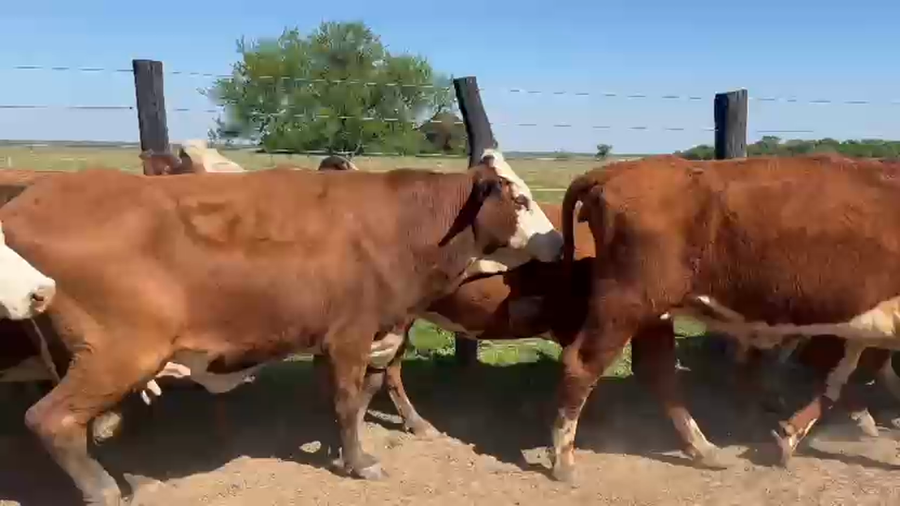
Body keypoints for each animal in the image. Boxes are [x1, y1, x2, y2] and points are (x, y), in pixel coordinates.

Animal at [0, 150, 562, 505]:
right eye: (519, 199)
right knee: (50, 420)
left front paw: (345, 450)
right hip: (118, 354)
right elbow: (347, 402)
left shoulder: (374, 338)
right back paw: (101, 489)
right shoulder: (349, 335)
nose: (557, 242)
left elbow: (360, 398)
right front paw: (359, 462)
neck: (399, 226)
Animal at [551, 153, 900, 483]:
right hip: (624, 304)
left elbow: (840, 377)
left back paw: (704, 449)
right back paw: (563, 461)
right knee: (581, 364)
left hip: (654, 313)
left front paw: (791, 435)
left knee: (657, 371)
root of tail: (617, 169)